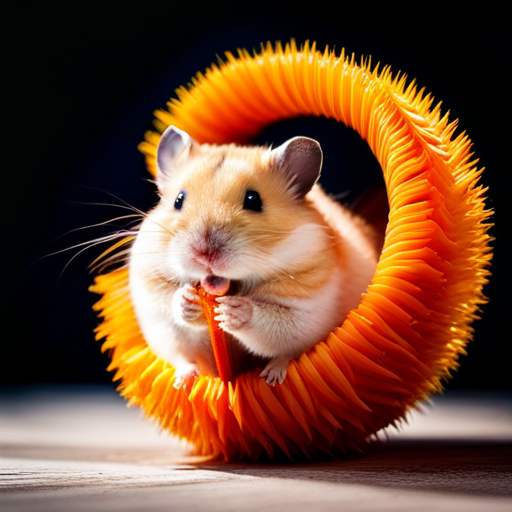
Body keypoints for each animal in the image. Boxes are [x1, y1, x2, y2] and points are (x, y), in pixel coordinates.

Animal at [128, 125, 378, 388]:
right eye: (178, 200)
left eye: (253, 200)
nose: (204, 254)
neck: (236, 284)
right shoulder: (155, 304)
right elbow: (175, 312)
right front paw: (188, 300)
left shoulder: (306, 309)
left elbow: (272, 323)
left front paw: (232, 311)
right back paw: (184, 382)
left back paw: (272, 377)